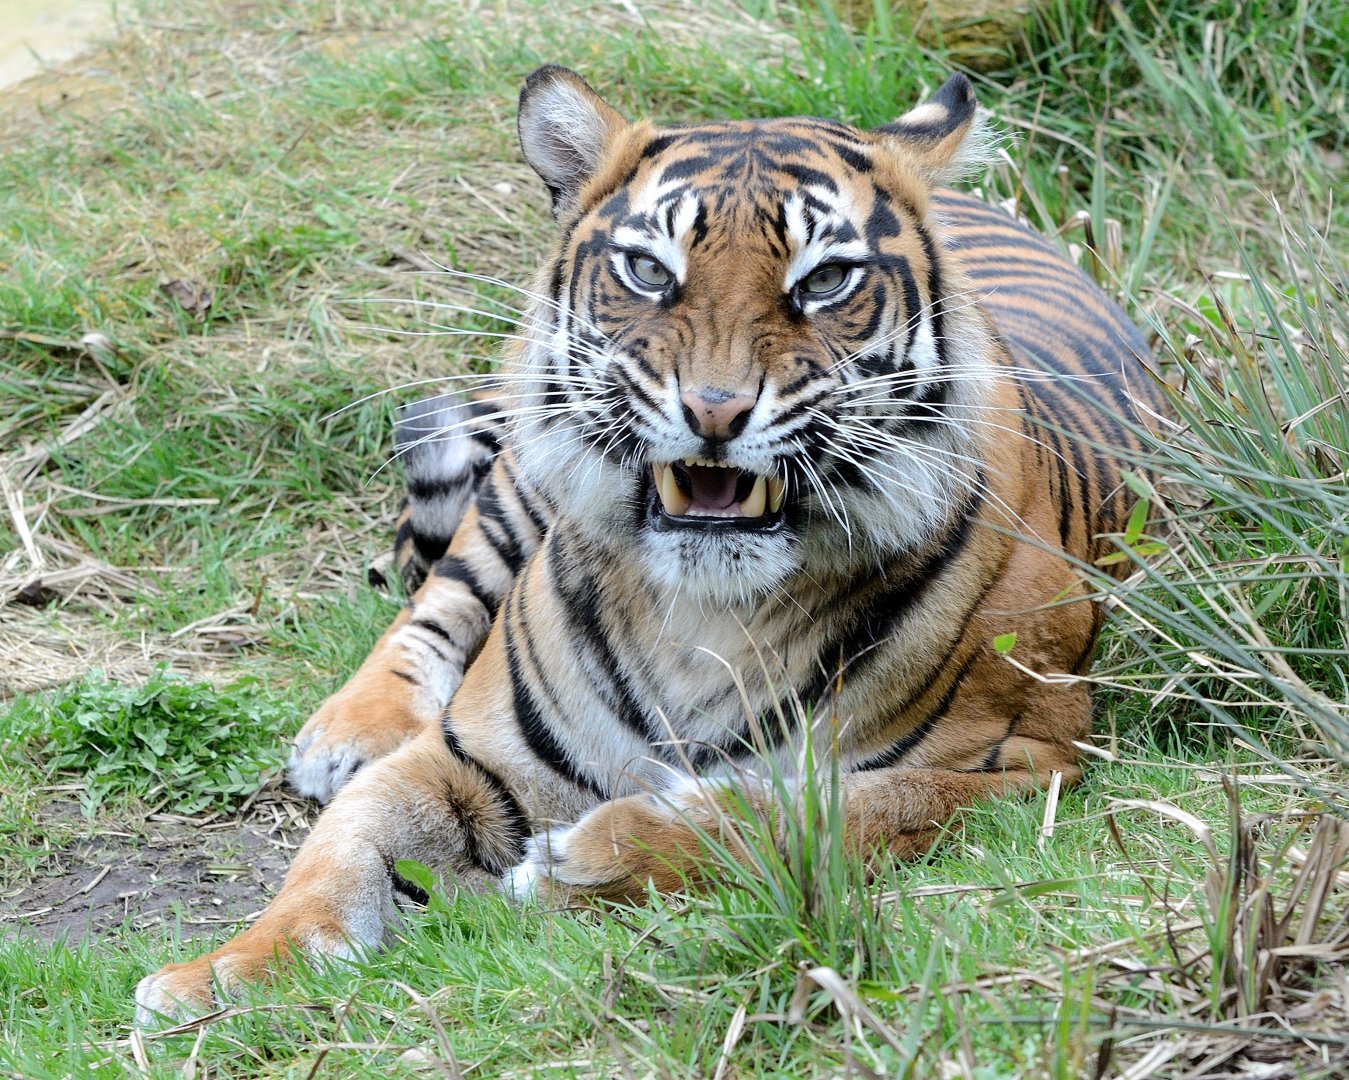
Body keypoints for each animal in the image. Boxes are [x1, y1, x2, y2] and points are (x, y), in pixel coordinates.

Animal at [135, 65, 1165, 1023]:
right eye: (648, 271)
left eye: (824, 280)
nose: (713, 410)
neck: (705, 613)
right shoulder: (469, 754)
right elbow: (336, 855)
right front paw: (221, 976)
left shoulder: (1027, 763)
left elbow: (824, 808)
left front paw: (581, 859)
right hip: (516, 486)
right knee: (438, 597)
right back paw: (347, 732)